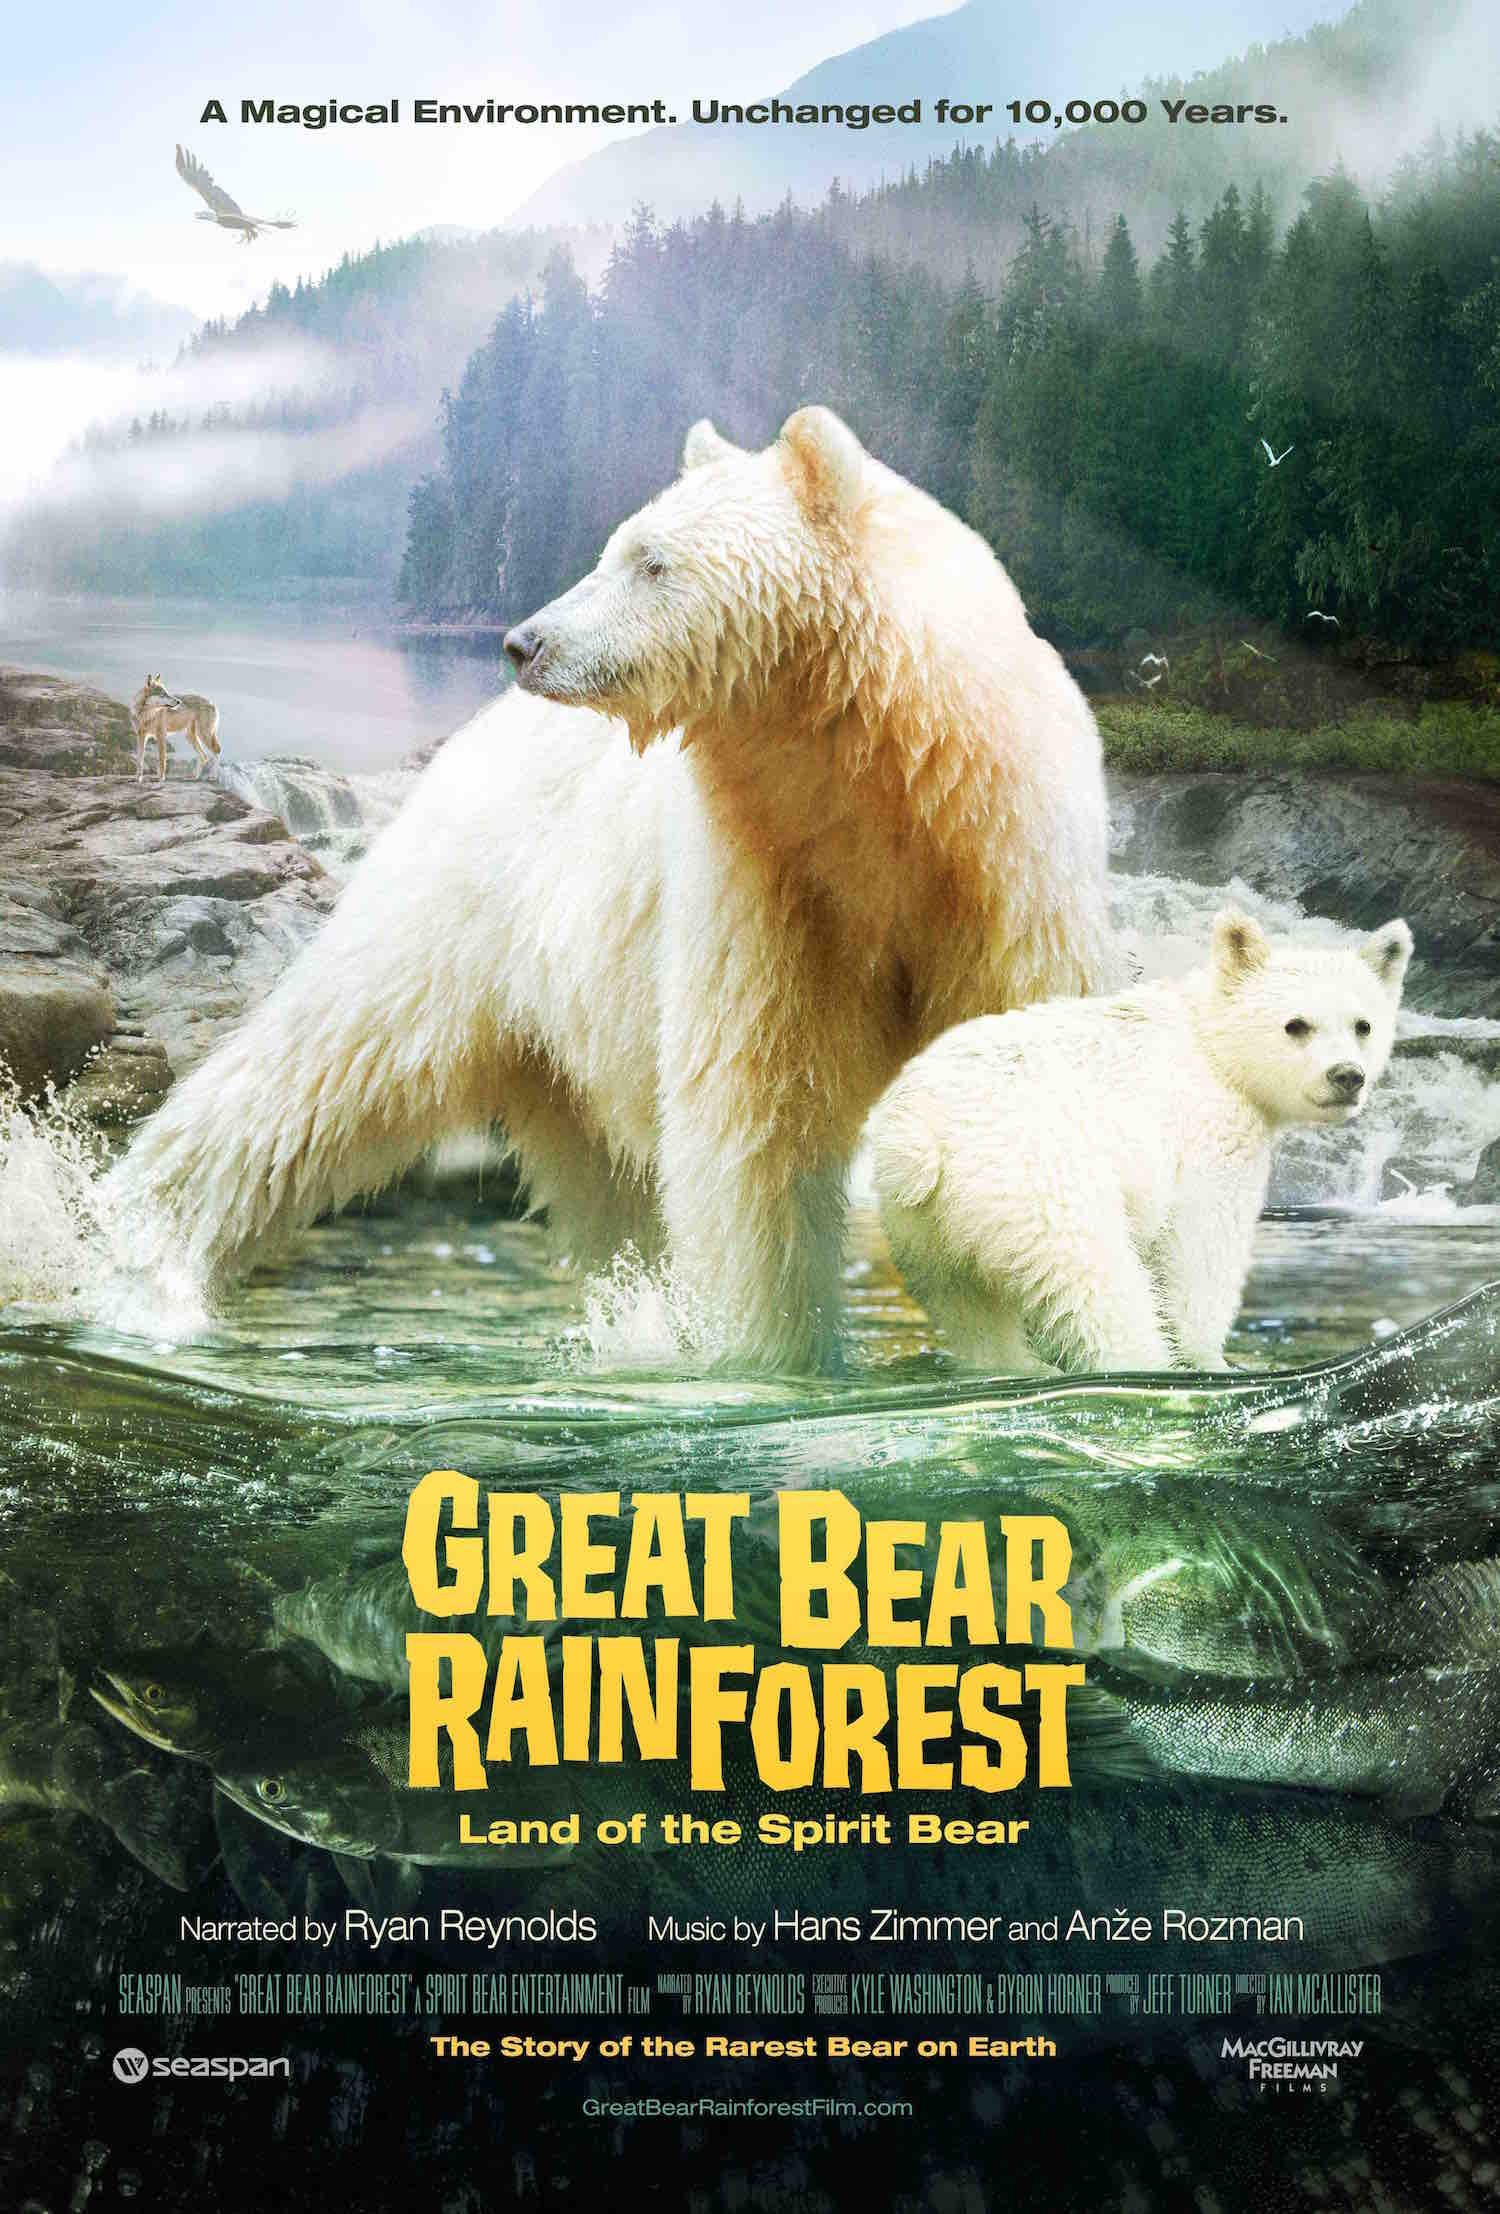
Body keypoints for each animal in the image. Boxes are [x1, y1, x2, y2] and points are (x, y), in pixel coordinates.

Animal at [111, 406, 1114, 1371]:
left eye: (650, 561)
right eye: (617, 545)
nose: (524, 643)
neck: (882, 788)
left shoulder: (1008, 887)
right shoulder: (764, 883)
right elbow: (760, 1125)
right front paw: (775, 1362)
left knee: (609, 1189)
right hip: (461, 909)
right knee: (315, 1075)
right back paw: (142, 1257)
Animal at [870, 908, 1412, 1375]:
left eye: (1363, 1025)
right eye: (1296, 1024)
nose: (1347, 1076)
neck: (1211, 1043)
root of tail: (920, 1128)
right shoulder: (1210, 1130)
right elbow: (1201, 1248)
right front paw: (1209, 1359)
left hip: (923, 1220)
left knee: (969, 1305)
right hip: (1036, 1174)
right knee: (1095, 1280)